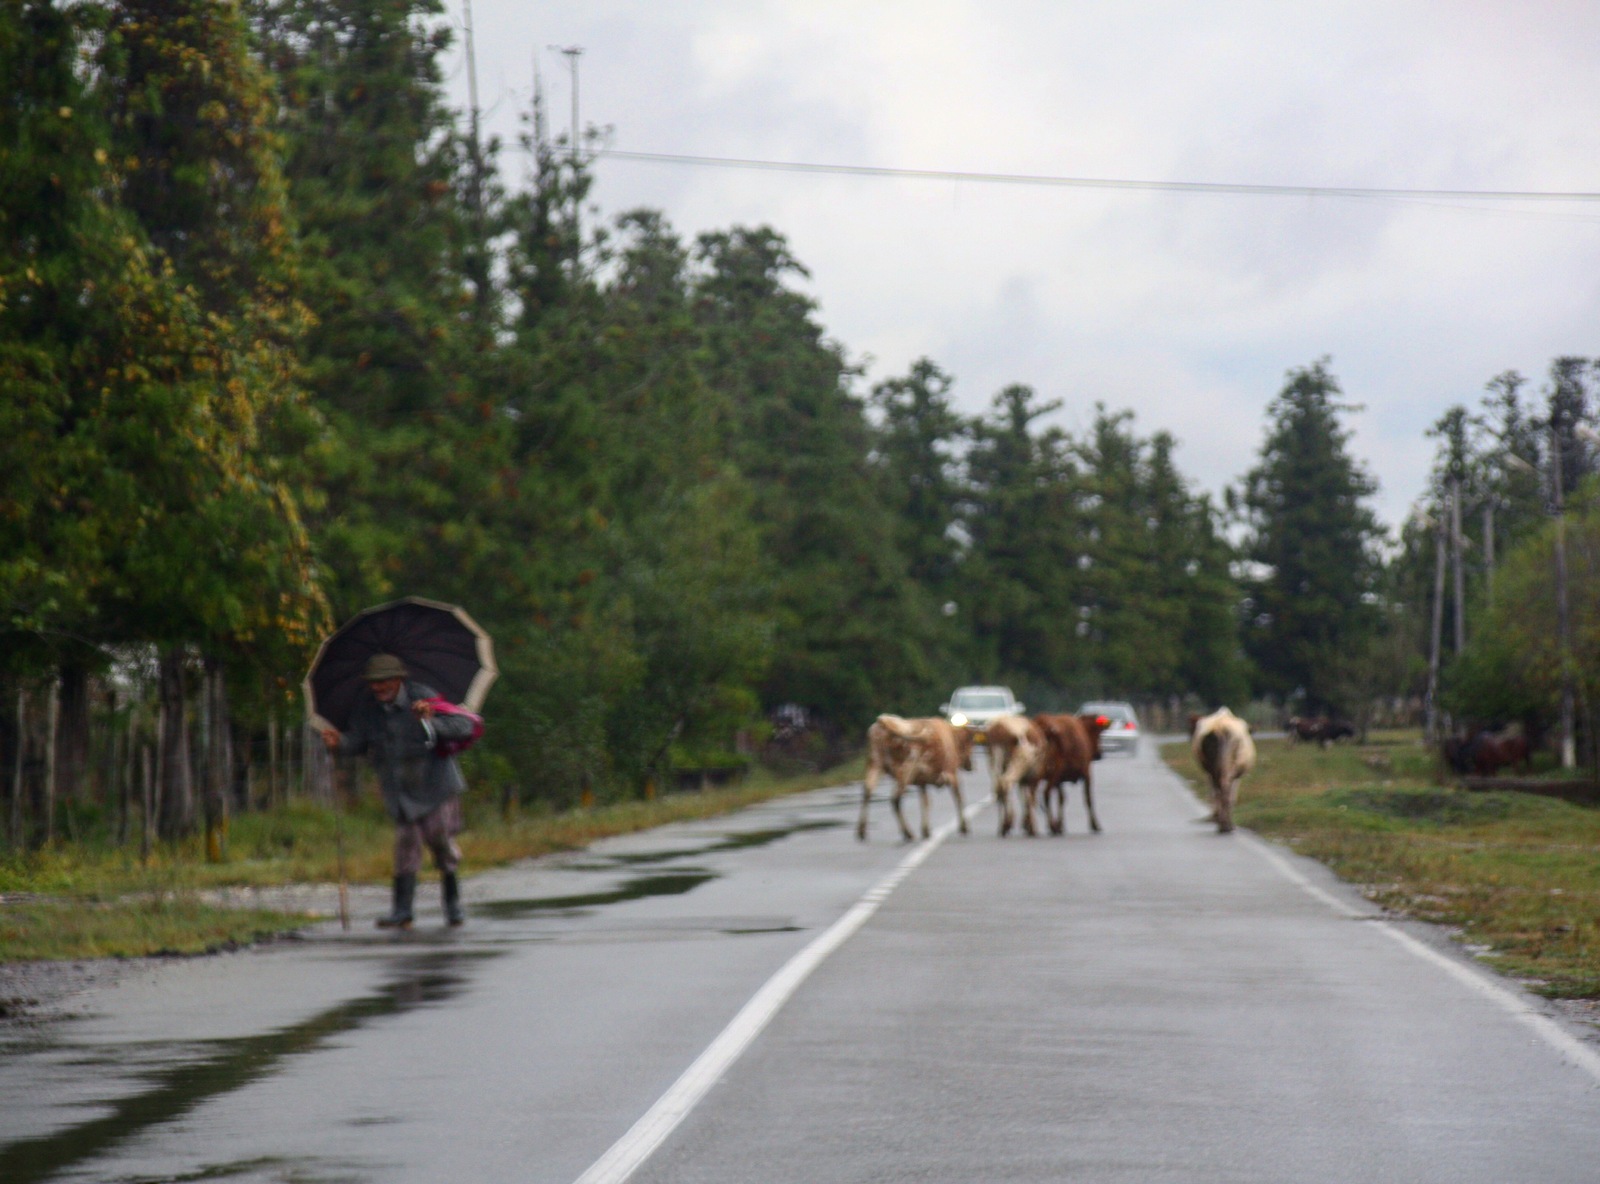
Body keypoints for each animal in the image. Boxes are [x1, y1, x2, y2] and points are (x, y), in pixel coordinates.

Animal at [857, 713, 966, 844]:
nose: (970, 766)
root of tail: (883, 720)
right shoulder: (951, 773)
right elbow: (958, 797)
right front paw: (964, 827)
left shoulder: (922, 782)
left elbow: (925, 802)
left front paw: (926, 831)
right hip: (905, 769)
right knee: (895, 798)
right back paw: (908, 833)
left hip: (875, 764)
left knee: (867, 792)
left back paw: (861, 832)